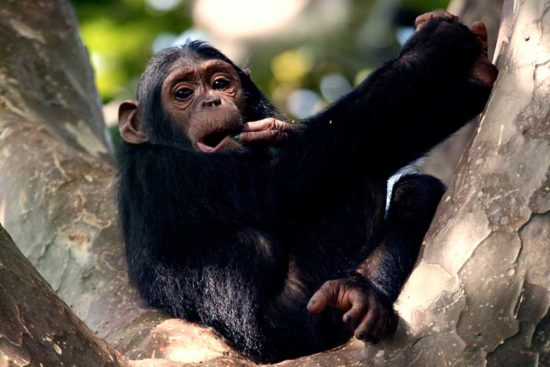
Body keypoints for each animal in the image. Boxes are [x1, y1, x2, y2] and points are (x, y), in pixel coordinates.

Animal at [117, 12, 500, 366]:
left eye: (220, 83)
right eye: (183, 93)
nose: (211, 101)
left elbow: (387, 142)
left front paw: (476, 73)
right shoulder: (172, 171)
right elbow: (279, 184)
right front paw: (433, 45)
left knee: (404, 184)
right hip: (300, 320)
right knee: (358, 180)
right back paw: (357, 295)